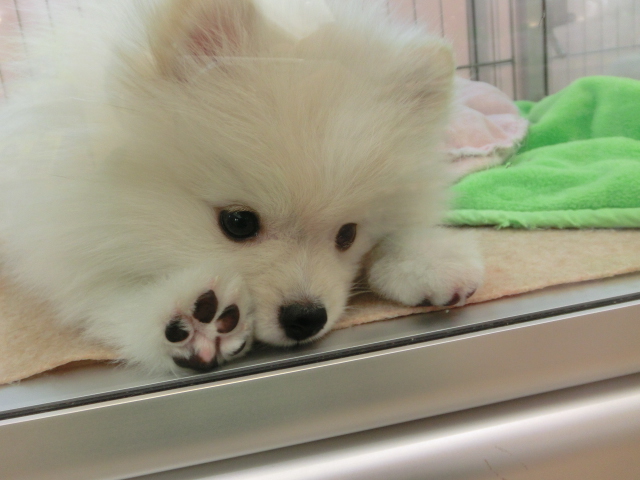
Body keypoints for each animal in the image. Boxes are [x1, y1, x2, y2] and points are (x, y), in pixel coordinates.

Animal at [0, 0, 483, 373]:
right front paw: (186, 316)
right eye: (238, 223)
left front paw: (429, 259)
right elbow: (110, 301)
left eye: (348, 235)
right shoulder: (69, 247)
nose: (306, 317)